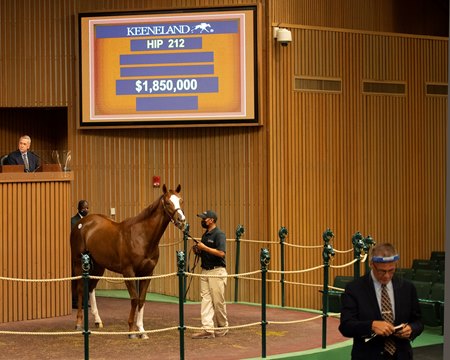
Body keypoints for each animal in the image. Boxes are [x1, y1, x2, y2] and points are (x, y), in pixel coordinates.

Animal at [70, 184, 185, 338]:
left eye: (180, 200)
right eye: (167, 203)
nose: (181, 220)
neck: (141, 236)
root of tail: (82, 223)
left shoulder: (147, 273)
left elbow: (141, 299)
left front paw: (142, 330)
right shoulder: (128, 273)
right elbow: (134, 299)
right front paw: (131, 330)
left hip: (99, 267)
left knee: (91, 288)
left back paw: (98, 321)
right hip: (79, 264)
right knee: (81, 289)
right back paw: (78, 323)